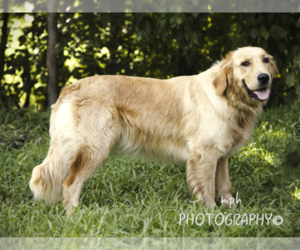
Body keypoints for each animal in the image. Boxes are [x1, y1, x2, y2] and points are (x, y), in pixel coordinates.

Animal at [29, 46, 276, 216]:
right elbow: (206, 188)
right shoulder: (204, 156)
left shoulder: (221, 155)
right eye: (245, 63)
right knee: (69, 184)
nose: (265, 78)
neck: (228, 98)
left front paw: (230, 210)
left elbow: (225, 185)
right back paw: (76, 216)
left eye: (265, 60)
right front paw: (211, 215)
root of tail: (70, 87)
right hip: (95, 149)